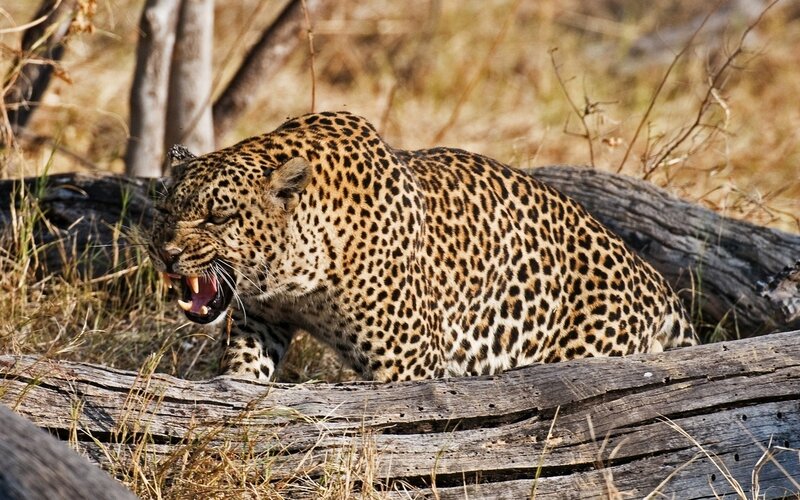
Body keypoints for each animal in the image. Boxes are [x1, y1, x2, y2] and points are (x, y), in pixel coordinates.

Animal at [147, 111, 698, 382]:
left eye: (218, 217)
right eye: (165, 212)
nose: (168, 255)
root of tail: (660, 287)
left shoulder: (405, 364)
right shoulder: (263, 318)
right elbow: (243, 369)